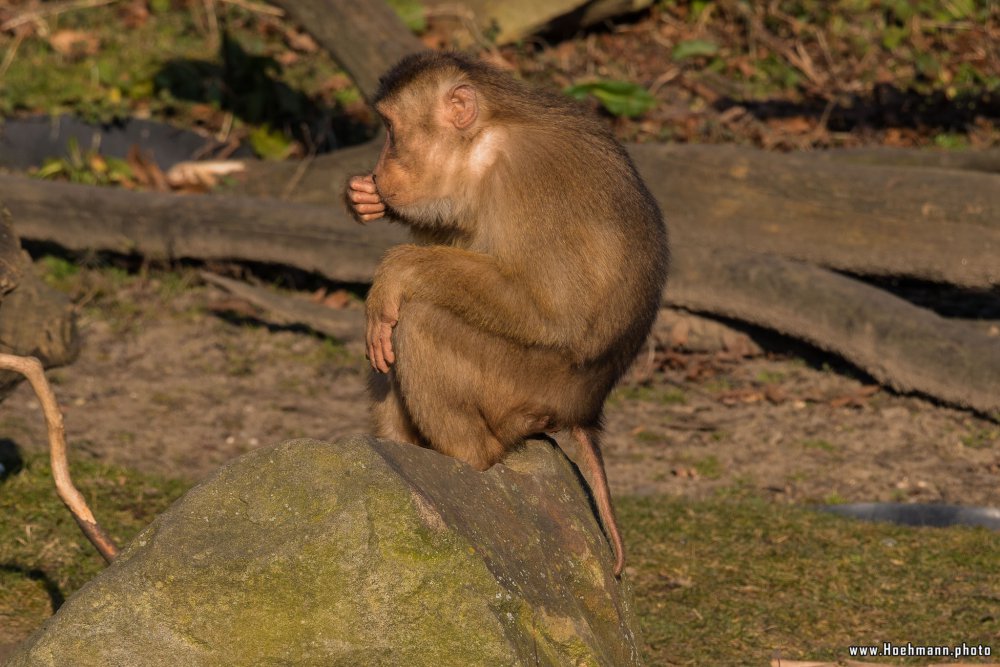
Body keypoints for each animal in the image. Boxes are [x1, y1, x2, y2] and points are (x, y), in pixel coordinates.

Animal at [348, 52, 668, 576]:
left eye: (392, 131)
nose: (379, 169)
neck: (484, 140)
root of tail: (586, 409)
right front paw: (366, 200)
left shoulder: (530, 179)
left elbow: (549, 308)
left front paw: (397, 269)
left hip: (521, 389)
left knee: (418, 322)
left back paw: (467, 460)